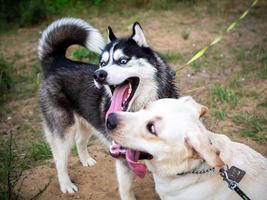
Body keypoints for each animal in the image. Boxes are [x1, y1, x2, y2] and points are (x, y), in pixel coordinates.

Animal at [38, 16, 178, 197]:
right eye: (102, 63)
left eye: (123, 61)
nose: (98, 74)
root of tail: (58, 62)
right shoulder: (122, 155)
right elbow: (126, 189)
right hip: (63, 130)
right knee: (59, 160)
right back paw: (66, 185)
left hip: (87, 120)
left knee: (79, 140)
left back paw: (86, 160)